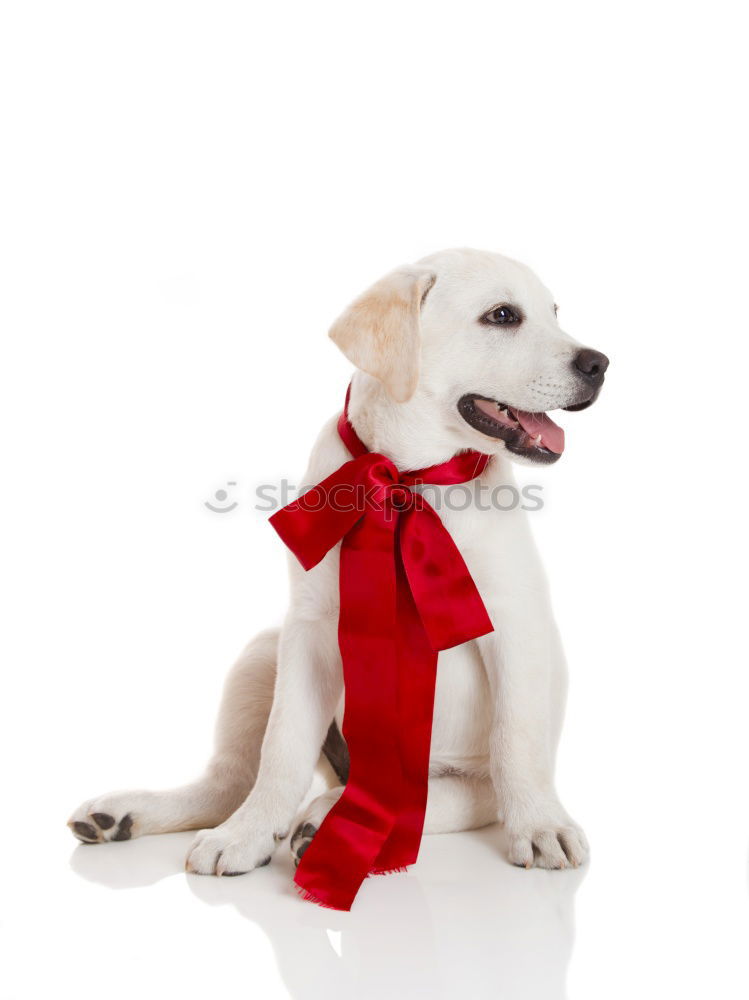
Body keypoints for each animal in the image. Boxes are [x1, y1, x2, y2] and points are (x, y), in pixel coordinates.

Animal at [68, 248, 608, 876]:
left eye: (554, 312)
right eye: (503, 315)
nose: (600, 363)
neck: (407, 478)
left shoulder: (514, 625)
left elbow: (516, 739)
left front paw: (542, 826)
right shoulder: (308, 630)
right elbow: (281, 748)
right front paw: (247, 835)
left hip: (458, 779)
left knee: (446, 794)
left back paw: (330, 817)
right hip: (264, 651)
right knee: (231, 781)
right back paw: (137, 813)